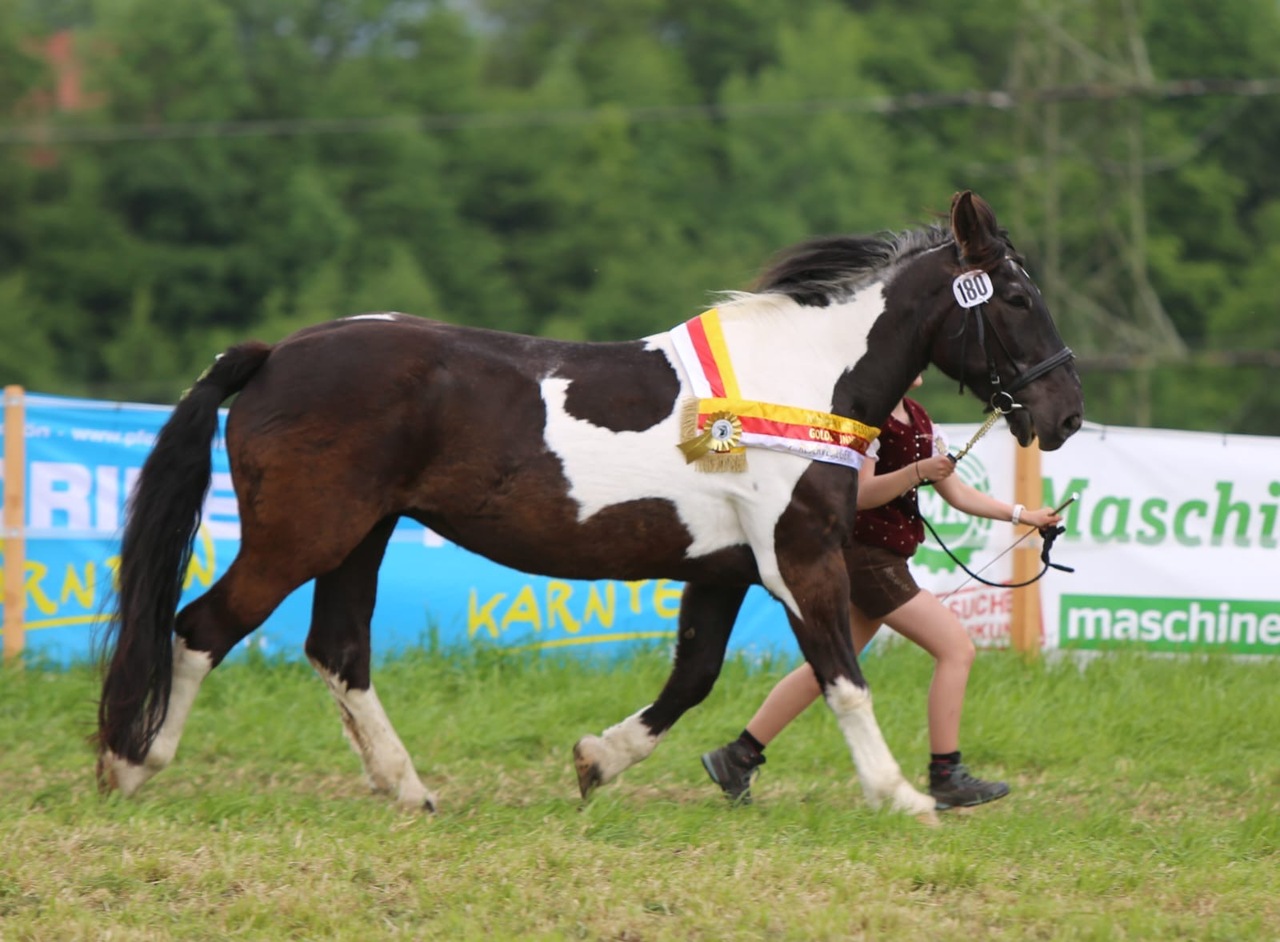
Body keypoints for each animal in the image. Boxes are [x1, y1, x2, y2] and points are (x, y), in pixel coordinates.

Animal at [94, 189, 1085, 819]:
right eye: (1017, 296)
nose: (1064, 412)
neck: (798, 384)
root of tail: (273, 355)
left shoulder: (720, 569)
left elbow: (692, 680)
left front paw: (596, 762)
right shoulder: (798, 558)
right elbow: (842, 676)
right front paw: (902, 795)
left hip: (358, 538)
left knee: (338, 651)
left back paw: (409, 790)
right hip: (299, 536)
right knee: (199, 628)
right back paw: (131, 765)